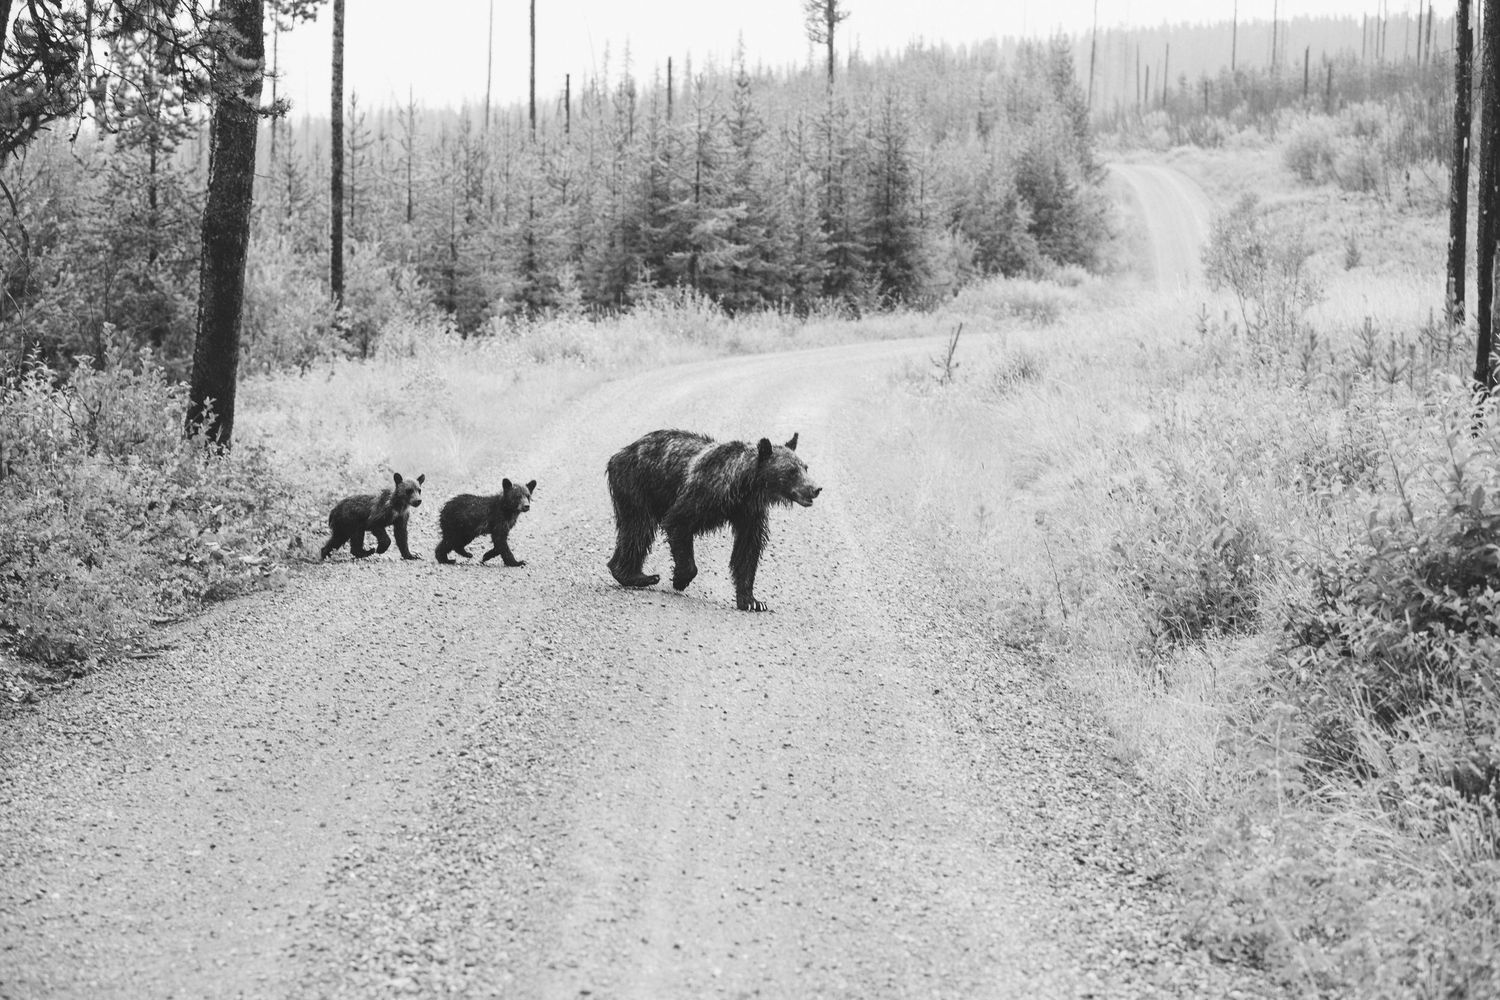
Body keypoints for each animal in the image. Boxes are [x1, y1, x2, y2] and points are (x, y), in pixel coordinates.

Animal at [605, 429, 821, 611]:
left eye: (805, 467)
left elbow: (748, 550)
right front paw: (680, 579)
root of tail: (619, 454)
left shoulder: (749, 512)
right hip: (637, 485)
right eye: (792, 471)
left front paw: (752, 601)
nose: (815, 488)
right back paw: (641, 576)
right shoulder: (704, 494)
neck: (744, 486)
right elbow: (678, 522)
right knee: (638, 528)